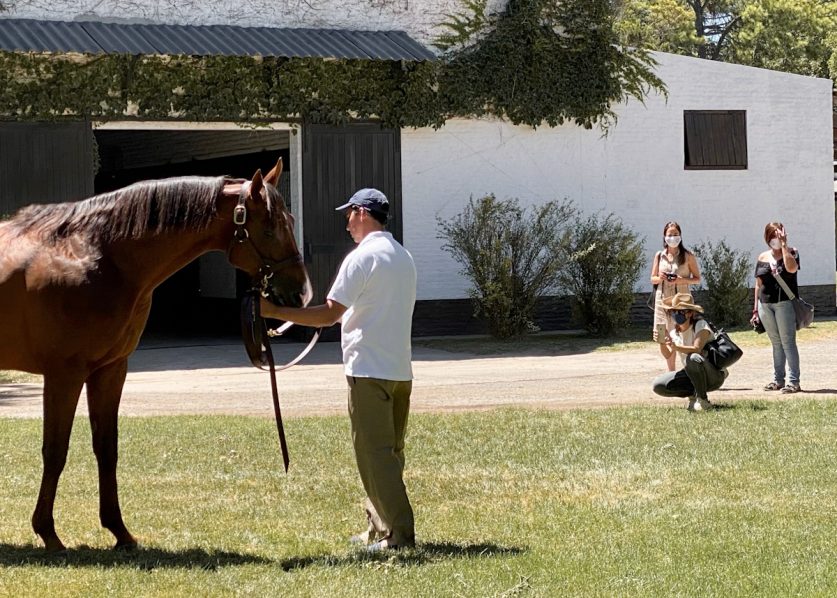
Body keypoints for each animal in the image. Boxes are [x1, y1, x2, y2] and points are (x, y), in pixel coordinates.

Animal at [0, 159, 310, 552]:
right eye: (269, 228)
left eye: (290, 220)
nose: (300, 292)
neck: (97, 254)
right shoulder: (64, 375)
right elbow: (55, 452)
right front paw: (48, 533)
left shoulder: (110, 370)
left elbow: (107, 449)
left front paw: (119, 531)